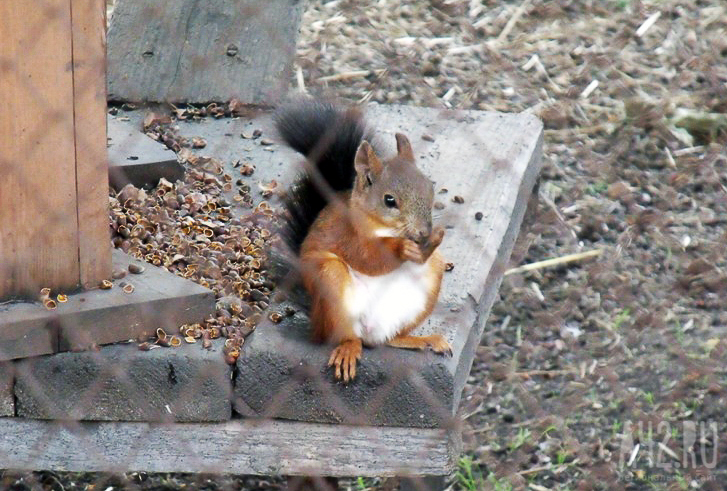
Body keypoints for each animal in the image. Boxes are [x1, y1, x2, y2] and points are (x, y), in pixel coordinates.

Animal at [276, 101, 452, 384]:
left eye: (430, 189)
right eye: (389, 200)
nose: (424, 232)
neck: (385, 228)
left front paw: (431, 242)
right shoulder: (348, 236)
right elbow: (368, 258)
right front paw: (402, 248)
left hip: (421, 292)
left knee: (388, 339)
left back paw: (422, 340)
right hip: (331, 284)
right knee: (346, 336)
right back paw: (348, 348)